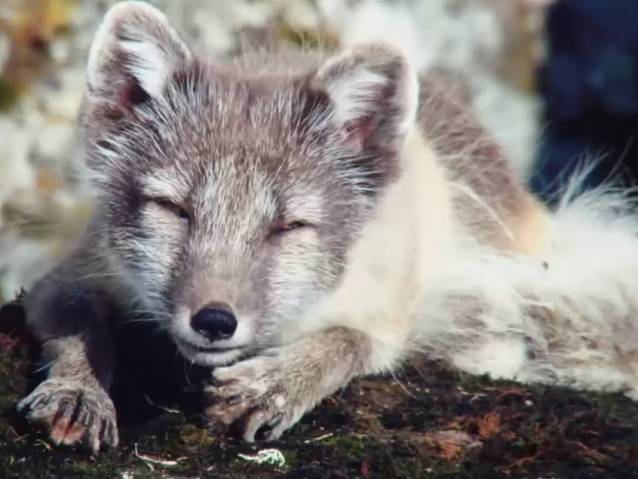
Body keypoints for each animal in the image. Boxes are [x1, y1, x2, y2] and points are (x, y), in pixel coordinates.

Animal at [15, 0, 638, 454]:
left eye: (289, 225)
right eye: (175, 209)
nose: (215, 321)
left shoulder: (388, 308)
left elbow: (349, 341)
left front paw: (277, 384)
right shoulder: (75, 272)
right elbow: (76, 327)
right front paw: (77, 392)